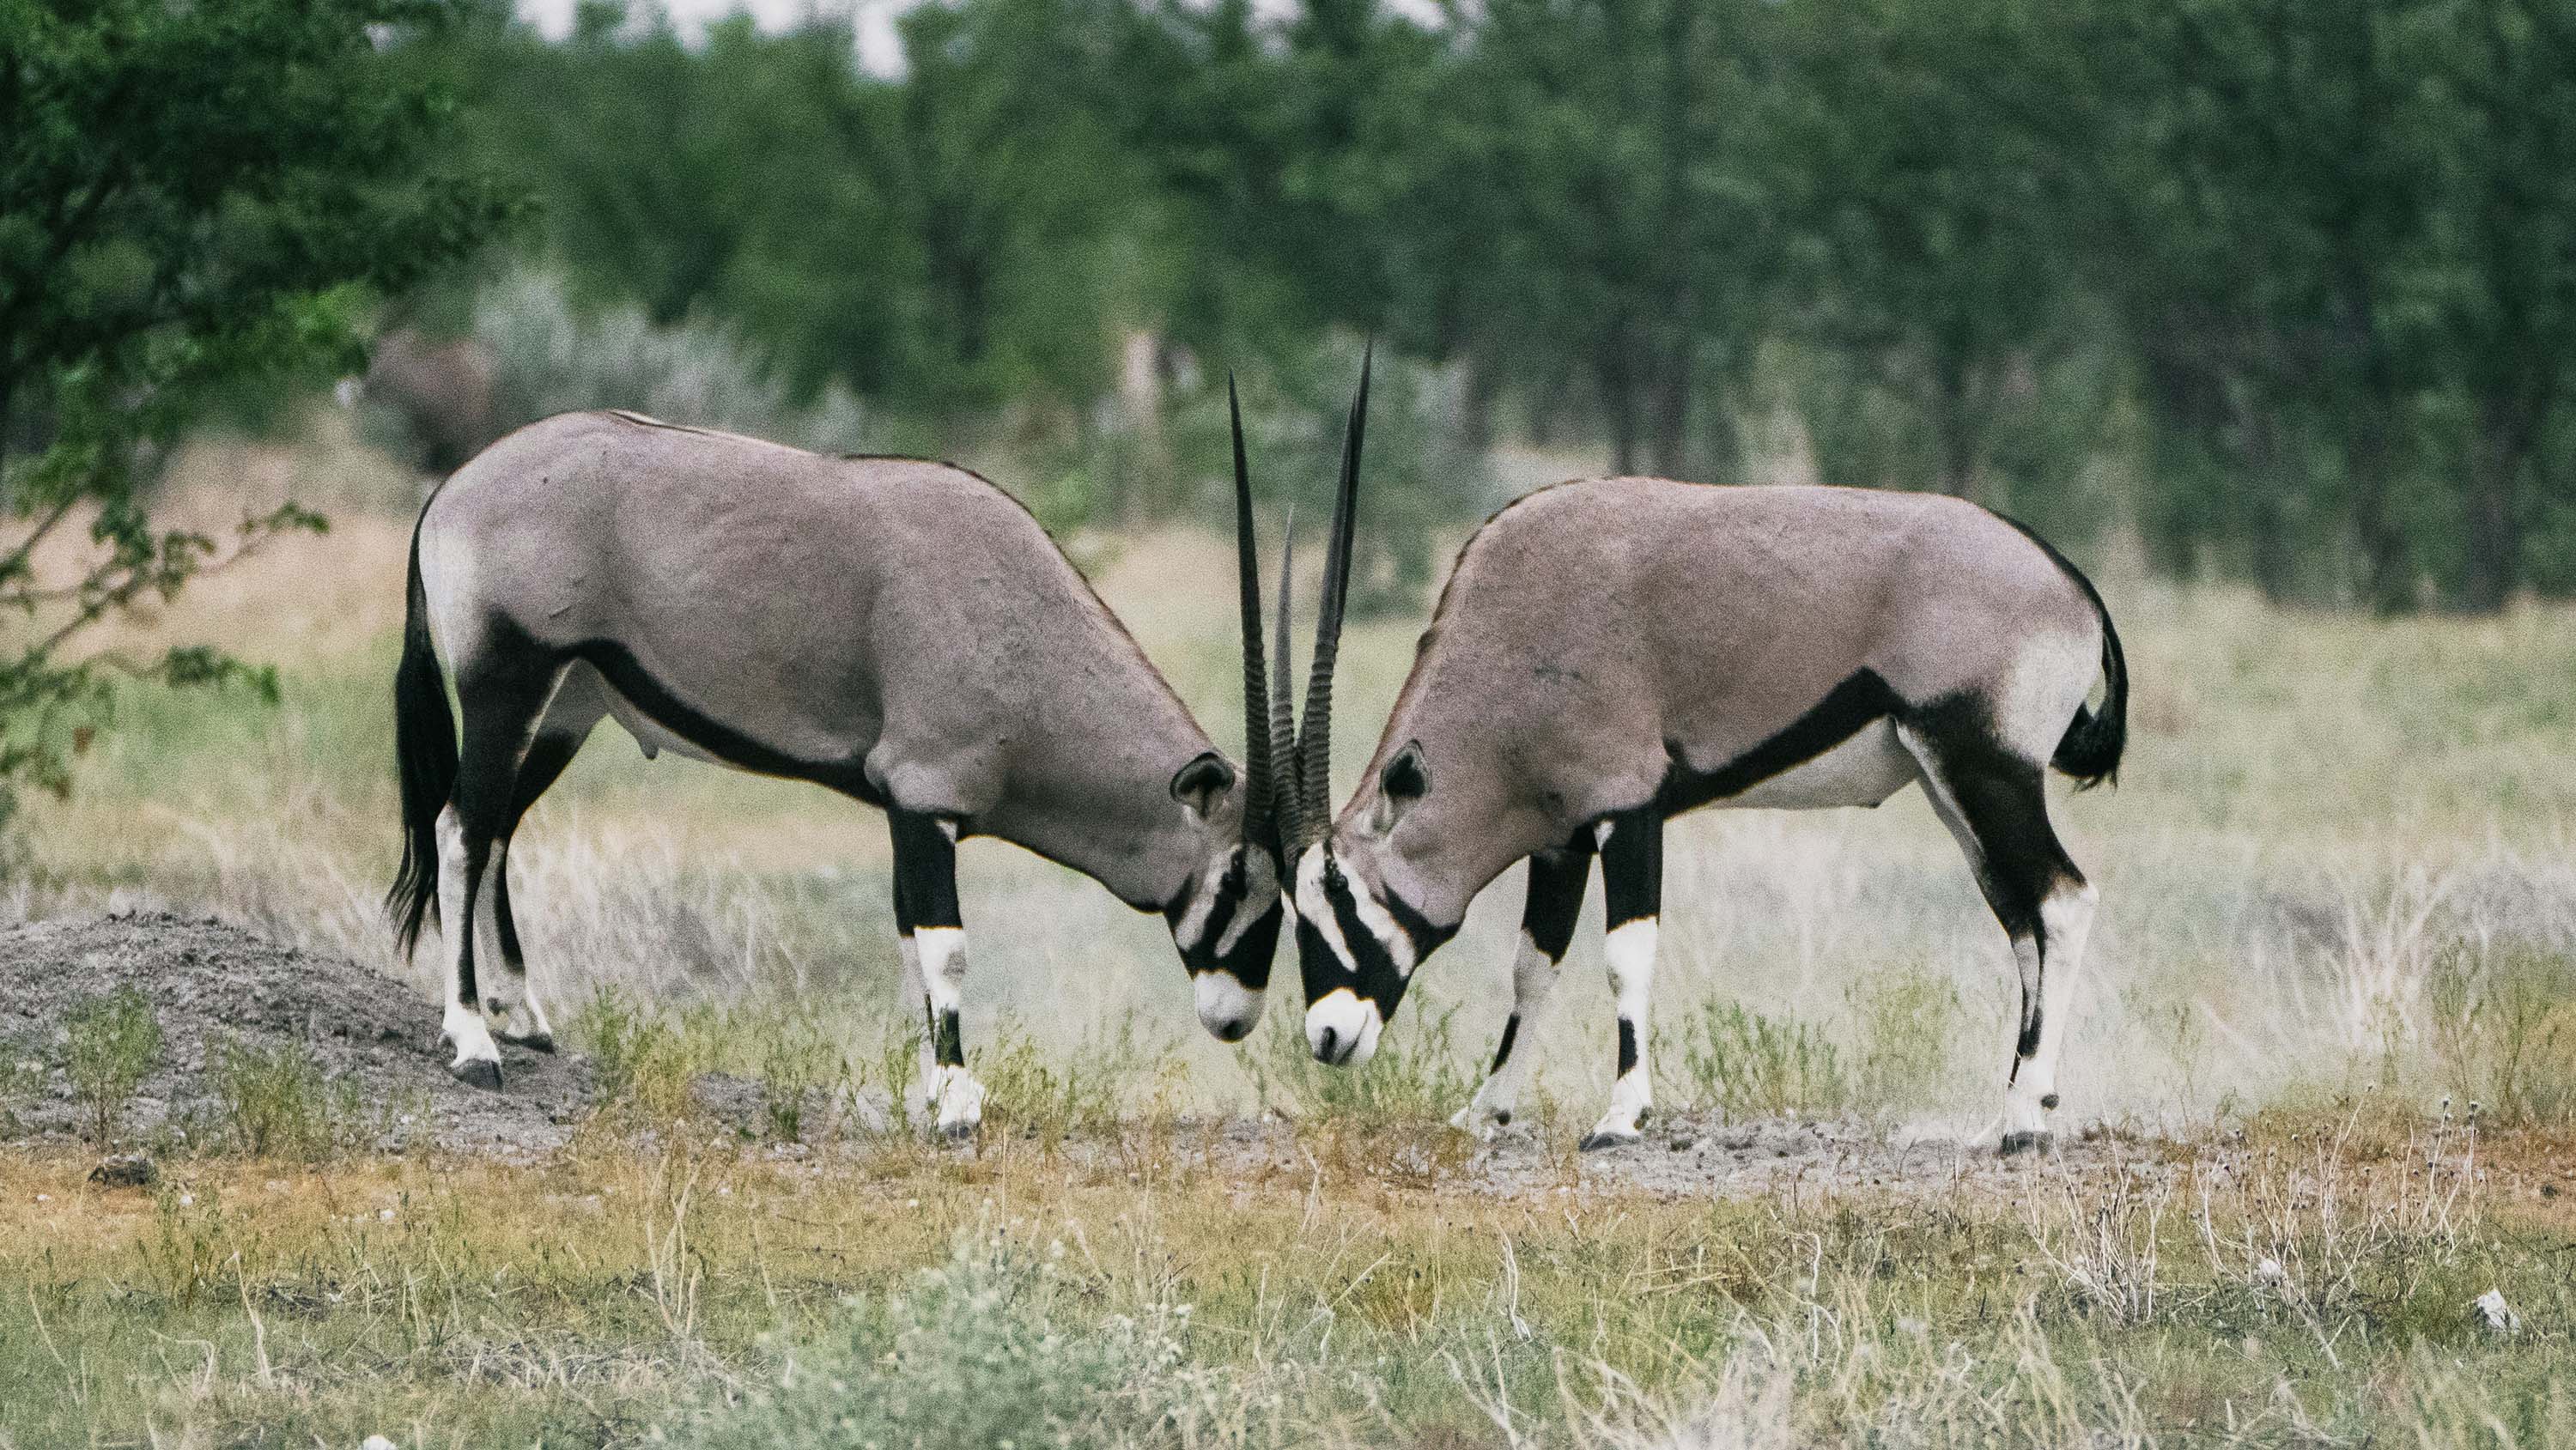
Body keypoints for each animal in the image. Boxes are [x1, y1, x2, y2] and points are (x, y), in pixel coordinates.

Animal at [385, 407, 1289, 1135]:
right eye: (1238, 875)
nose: (1236, 1018)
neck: (1024, 629)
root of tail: (452, 490)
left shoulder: (903, 810)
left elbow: (911, 942)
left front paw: (934, 1089)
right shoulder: (924, 798)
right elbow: (945, 949)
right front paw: (957, 1102)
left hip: (566, 708)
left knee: (497, 829)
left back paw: (522, 1014)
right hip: (509, 685)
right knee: (460, 829)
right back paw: (472, 1039)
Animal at [1266, 390, 2127, 1154]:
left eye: (1337, 888)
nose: (1328, 1034)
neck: (1514, 632)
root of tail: (2072, 581)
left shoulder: (1628, 812)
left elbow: (1625, 958)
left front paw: (1620, 1116)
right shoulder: (1560, 840)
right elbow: (1532, 968)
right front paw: (1484, 1110)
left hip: (1987, 773)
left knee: (2063, 899)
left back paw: (2021, 1120)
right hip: (1955, 792)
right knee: (2021, 924)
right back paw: (2013, 1109)